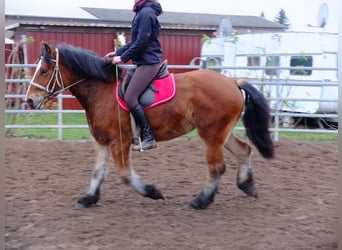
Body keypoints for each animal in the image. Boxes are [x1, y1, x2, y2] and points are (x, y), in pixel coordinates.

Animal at [25, 42, 274, 209]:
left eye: (44, 71)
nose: (29, 101)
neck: (102, 90)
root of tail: (233, 82)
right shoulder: (102, 141)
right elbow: (97, 172)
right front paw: (88, 198)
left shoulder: (120, 142)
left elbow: (125, 174)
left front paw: (153, 192)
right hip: (222, 133)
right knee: (243, 151)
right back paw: (247, 185)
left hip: (211, 135)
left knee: (217, 167)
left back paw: (201, 201)